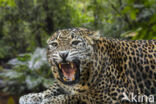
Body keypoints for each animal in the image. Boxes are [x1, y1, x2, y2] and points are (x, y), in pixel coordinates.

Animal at [19, 27, 156, 103]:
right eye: (54, 44)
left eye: (75, 43)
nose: (63, 54)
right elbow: (51, 89)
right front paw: (31, 96)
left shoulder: (118, 97)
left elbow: (76, 97)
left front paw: (50, 101)